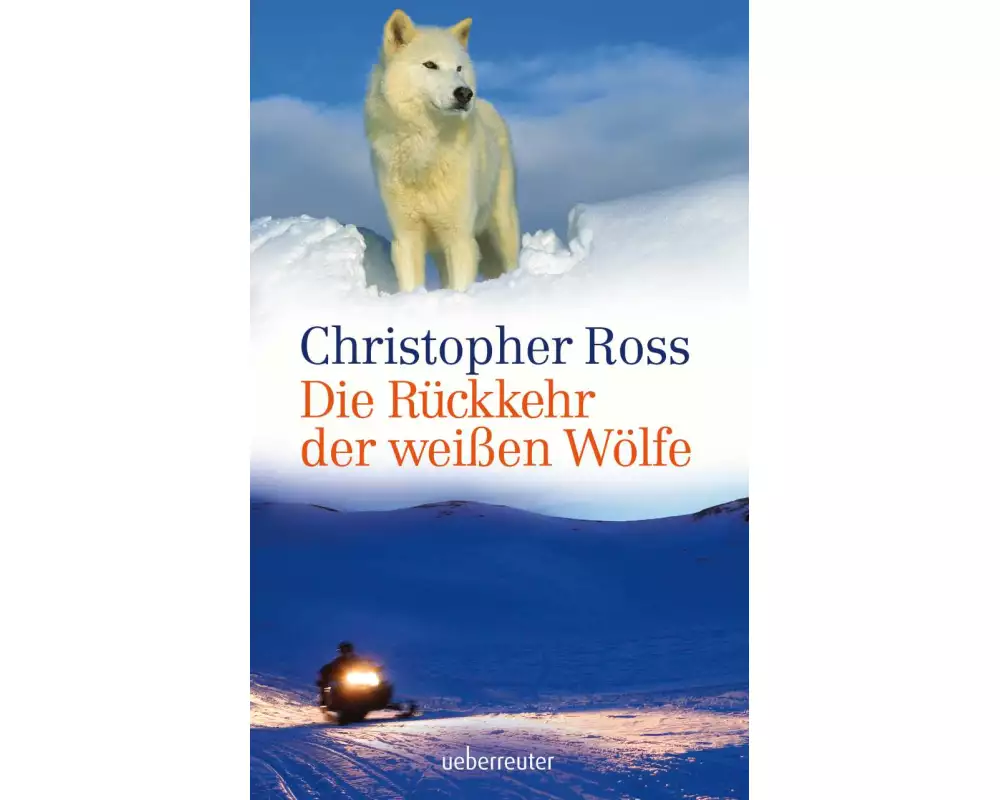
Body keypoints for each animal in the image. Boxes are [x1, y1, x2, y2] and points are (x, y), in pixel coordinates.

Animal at [364, 9, 520, 292]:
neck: (425, 150)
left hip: (502, 224)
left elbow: (461, 286)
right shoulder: (406, 238)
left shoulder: (459, 237)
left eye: (458, 68)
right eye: (430, 65)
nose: (465, 93)